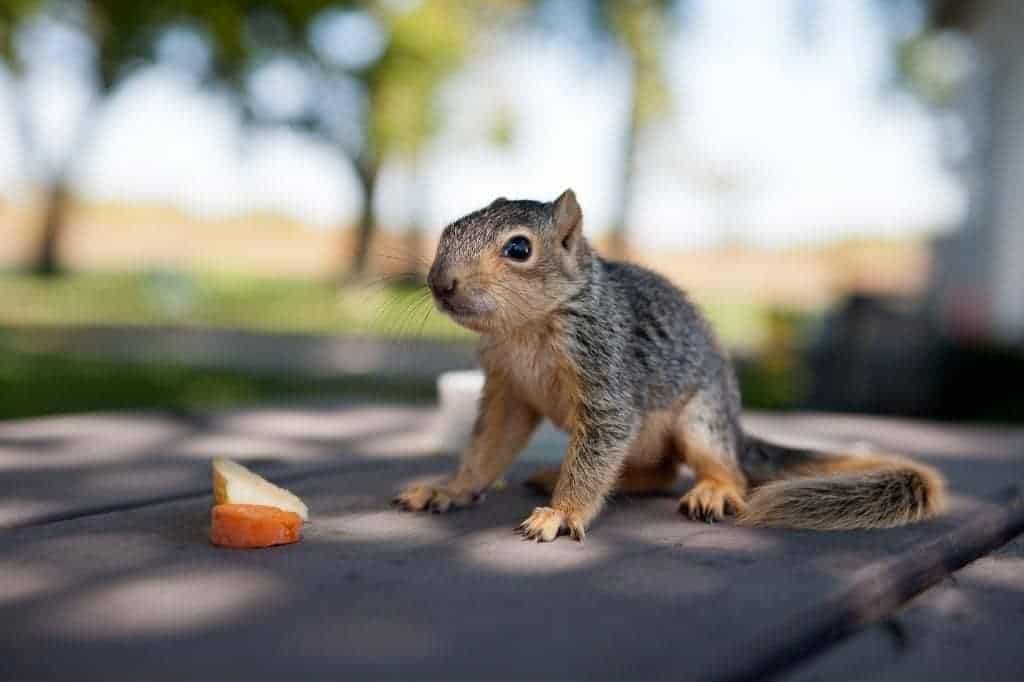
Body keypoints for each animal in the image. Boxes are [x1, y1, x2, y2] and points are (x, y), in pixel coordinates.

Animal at [394, 189, 948, 542]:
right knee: (658, 472)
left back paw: (713, 490)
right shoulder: (509, 389)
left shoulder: (606, 374)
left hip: (700, 421)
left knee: (722, 471)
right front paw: (450, 487)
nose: (440, 283)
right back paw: (564, 475)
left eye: (518, 248)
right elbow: (488, 448)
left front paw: (562, 514)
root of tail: (734, 426)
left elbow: (597, 449)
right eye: (447, 230)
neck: (523, 329)